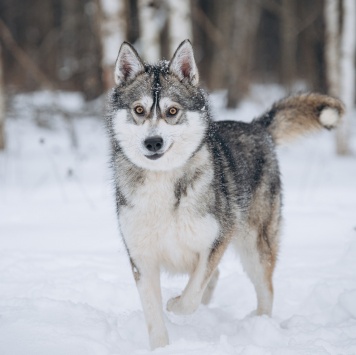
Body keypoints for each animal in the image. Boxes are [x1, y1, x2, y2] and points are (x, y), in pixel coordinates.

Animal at [106, 39, 344, 350]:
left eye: (172, 111)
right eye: (138, 109)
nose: (153, 142)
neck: (165, 183)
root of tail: (256, 127)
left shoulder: (218, 238)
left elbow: (191, 294)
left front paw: (175, 304)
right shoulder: (141, 257)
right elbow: (155, 317)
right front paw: (162, 347)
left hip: (255, 246)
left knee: (266, 290)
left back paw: (260, 327)